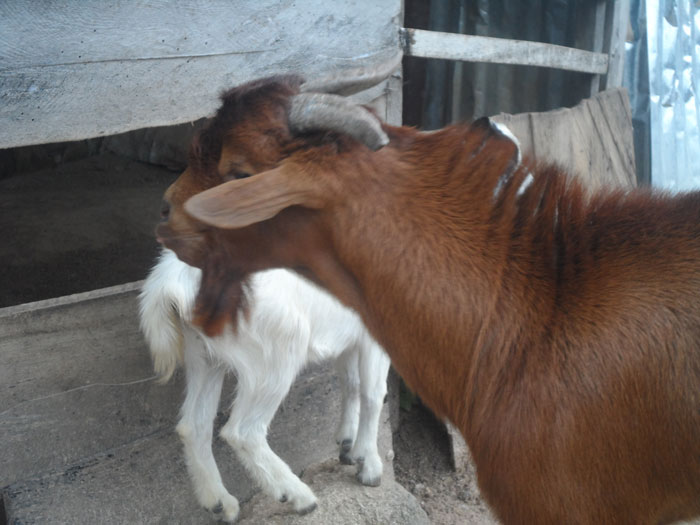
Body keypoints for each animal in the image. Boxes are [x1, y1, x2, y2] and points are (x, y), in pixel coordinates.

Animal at [138, 248, 390, 522]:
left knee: (193, 425)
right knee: (242, 432)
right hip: (273, 358)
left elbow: (351, 383)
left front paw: (348, 445)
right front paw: (370, 466)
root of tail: (173, 282)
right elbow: (373, 394)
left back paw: (220, 502)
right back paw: (299, 496)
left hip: (204, 357)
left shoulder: (351, 334)